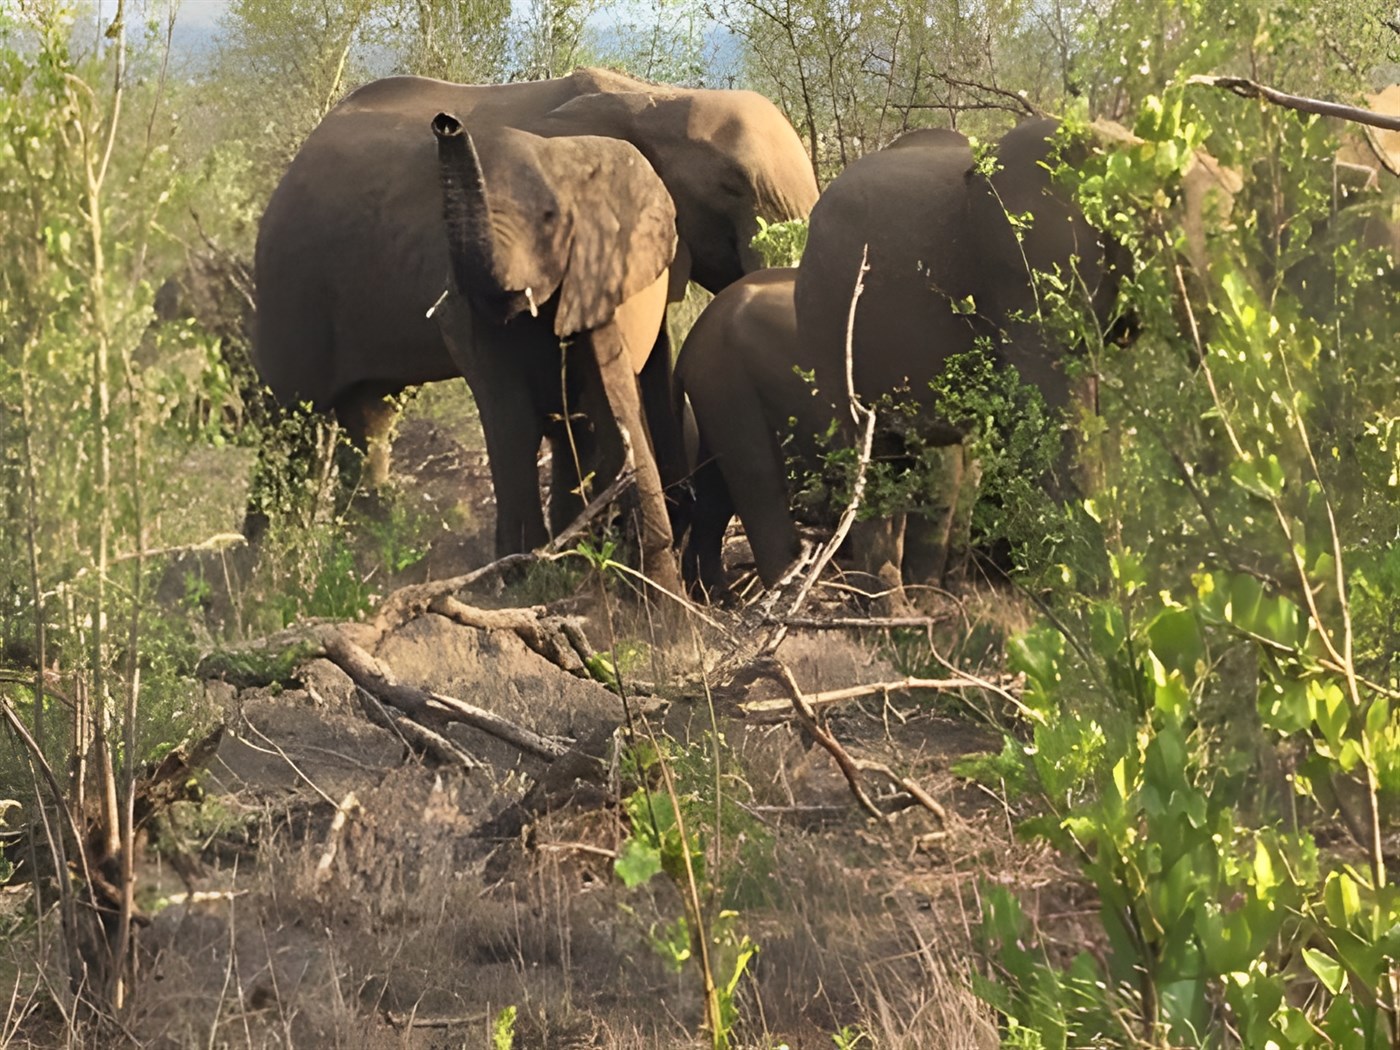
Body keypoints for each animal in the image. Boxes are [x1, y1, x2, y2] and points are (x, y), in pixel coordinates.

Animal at [252, 68, 818, 557]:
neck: (651, 98)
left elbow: (648, 361)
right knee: (287, 421)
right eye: (731, 186)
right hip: (290, 287)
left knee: (370, 415)